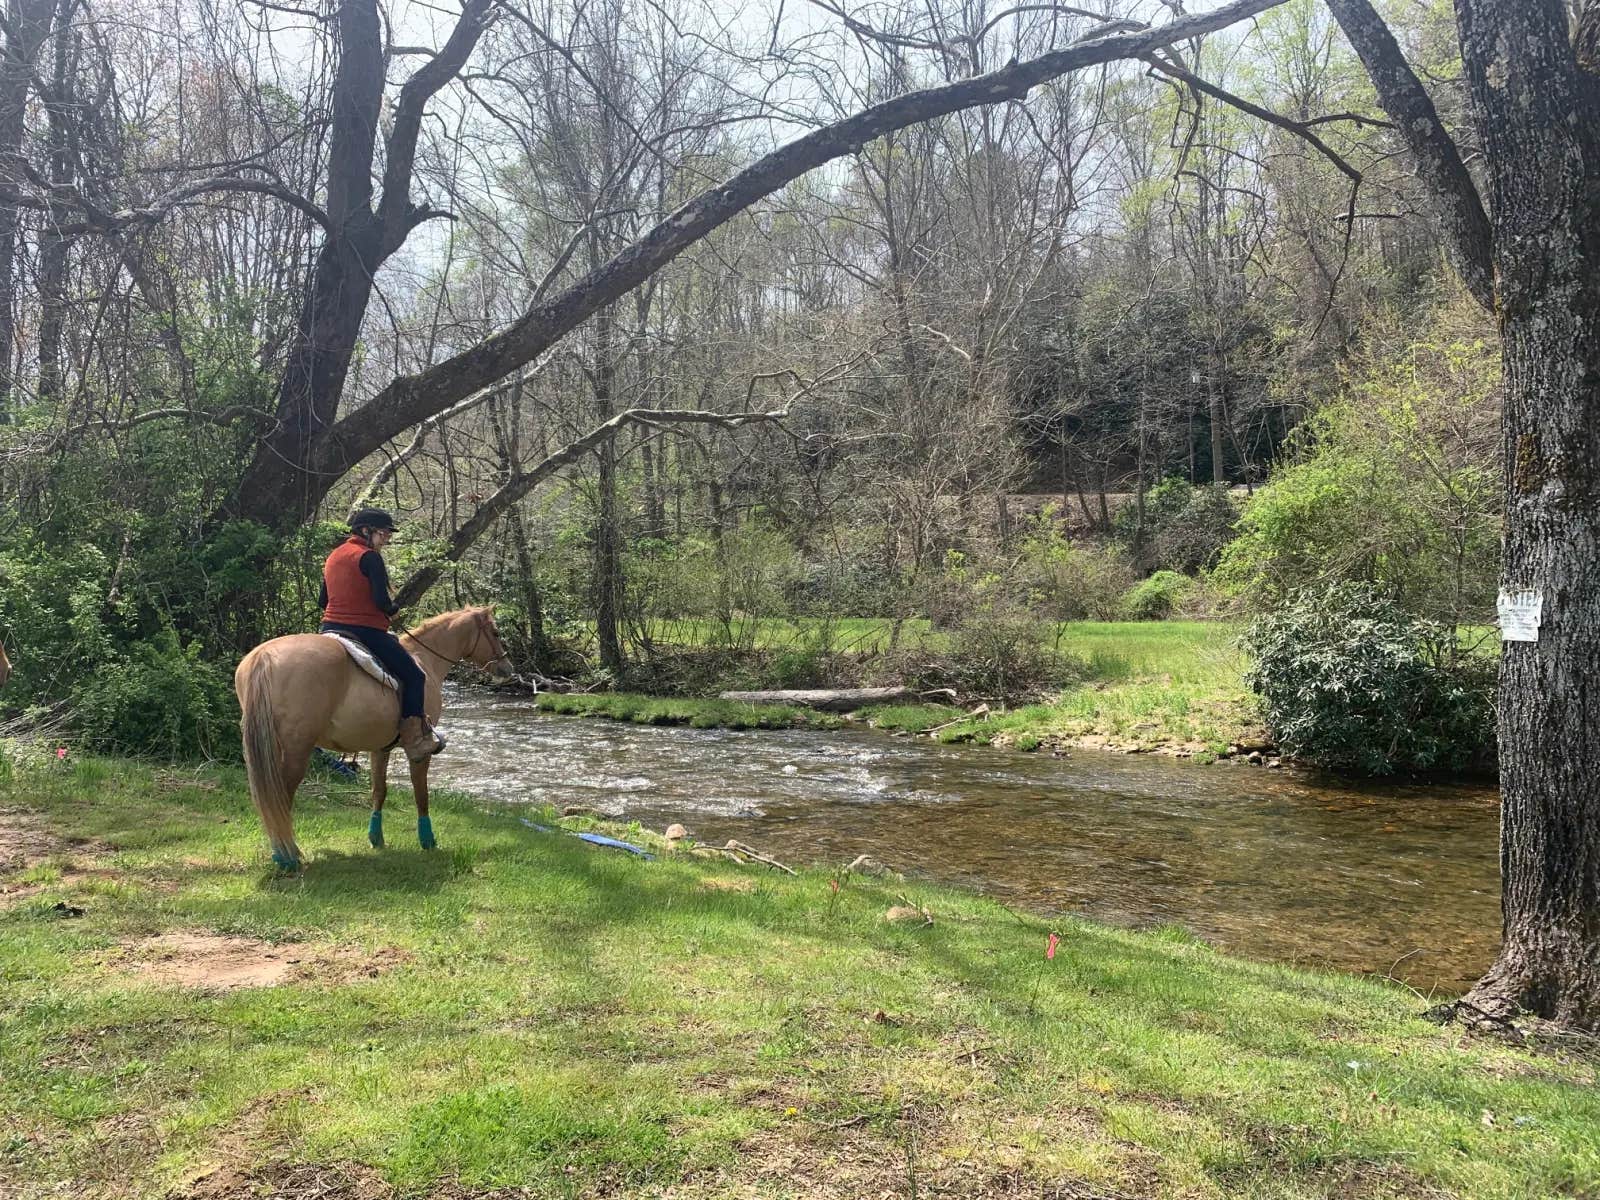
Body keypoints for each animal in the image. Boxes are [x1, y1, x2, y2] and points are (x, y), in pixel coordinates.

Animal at [233, 604, 512, 870]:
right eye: (496, 632)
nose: (507, 668)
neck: (426, 659)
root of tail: (264, 658)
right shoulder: (421, 751)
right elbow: (421, 792)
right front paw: (428, 840)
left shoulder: (380, 747)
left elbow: (379, 790)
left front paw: (376, 838)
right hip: (296, 750)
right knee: (281, 798)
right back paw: (287, 857)